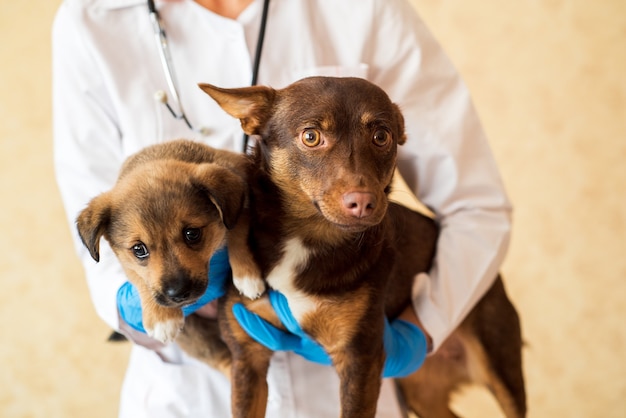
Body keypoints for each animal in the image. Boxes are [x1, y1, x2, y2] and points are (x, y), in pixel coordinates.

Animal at [76, 140, 260, 376]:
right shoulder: (127, 262)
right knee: (223, 359)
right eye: (139, 249)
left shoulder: (243, 205)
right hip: (194, 335)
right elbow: (138, 278)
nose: (179, 294)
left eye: (192, 233)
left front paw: (247, 276)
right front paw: (161, 317)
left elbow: (236, 232)